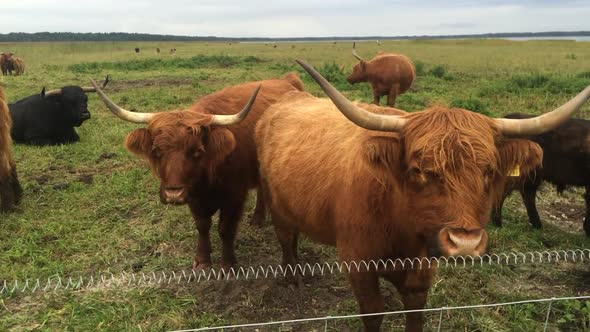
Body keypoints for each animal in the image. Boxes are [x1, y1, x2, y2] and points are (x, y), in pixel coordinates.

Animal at [92, 72, 306, 270]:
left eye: (197, 151)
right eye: (157, 151)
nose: (173, 194)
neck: (207, 180)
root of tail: (287, 81)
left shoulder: (235, 196)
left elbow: (225, 229)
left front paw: (227, 264)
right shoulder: (193, 196)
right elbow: (202, 226)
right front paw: (202, 260)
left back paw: (258, 219)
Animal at [256, 59, 590, 332]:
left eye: (489, 170)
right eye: (418, 170)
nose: (465, 244)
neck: (399, 224)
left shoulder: (422, 270)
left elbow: (415, 312)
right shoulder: (358, 264)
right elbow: (373, 313)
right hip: (274, 200)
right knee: (285, 235)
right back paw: (292, 275)